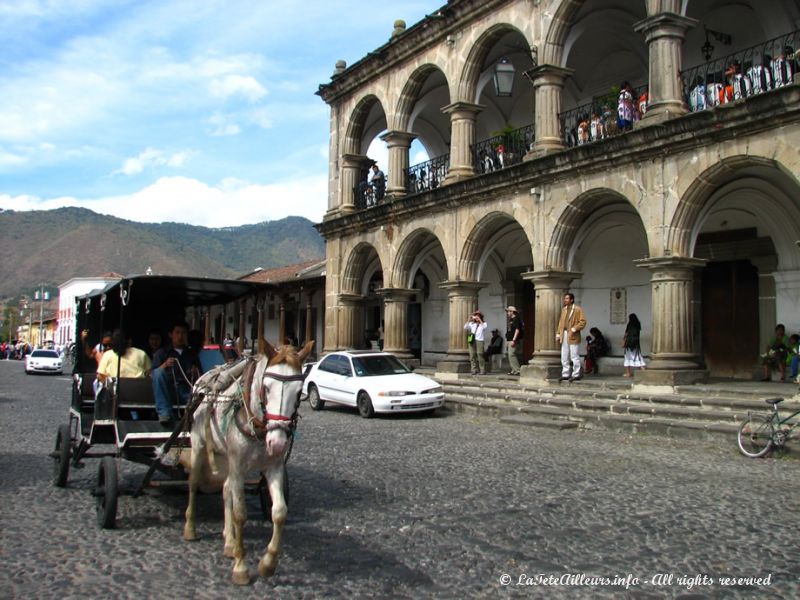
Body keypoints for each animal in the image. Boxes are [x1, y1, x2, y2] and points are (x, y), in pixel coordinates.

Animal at [183, 340, 314, 584]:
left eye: (298, 391)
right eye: (267, 387)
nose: (278, 442)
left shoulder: (274, 467)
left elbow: (279, 512)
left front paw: (268, 563)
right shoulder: (238, 467)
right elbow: (240, 514)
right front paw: (241, 567)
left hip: (226, 457)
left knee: (226, 489)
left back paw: (229, 541)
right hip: (199, 445)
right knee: (194, 484)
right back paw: (190, 528)